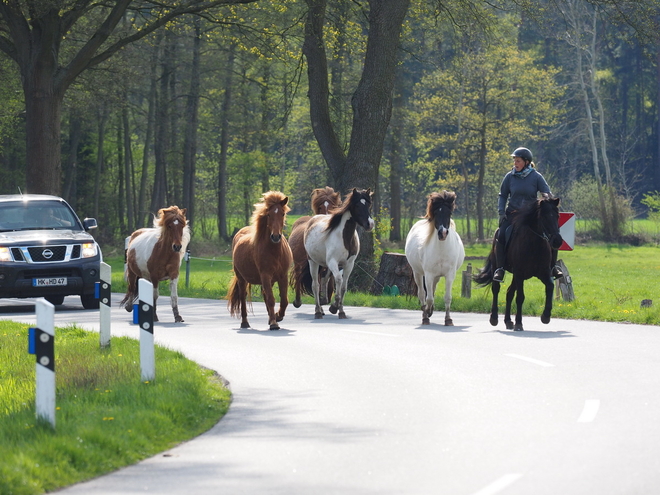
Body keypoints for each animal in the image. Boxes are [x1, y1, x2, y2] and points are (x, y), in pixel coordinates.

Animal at [227, 192, 292, 332]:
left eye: (282, 213)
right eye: (269, 214)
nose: (275, 236)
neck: (274, 251)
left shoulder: (283, 276)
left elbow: (284, 300)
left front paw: (277, 317)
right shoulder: (265, 275)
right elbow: (271, 299)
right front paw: (274, 323)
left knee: (265, 296)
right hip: (242, 278)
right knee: (243, 296)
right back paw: (245, 322)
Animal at [302, 188, 374, 320]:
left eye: (369, 204)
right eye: (357, 205)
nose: (370, 224)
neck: (344, 237)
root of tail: (312, 220)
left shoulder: (349, 264)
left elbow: (344, 287)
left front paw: (340, 311)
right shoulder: (333, 262)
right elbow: (339, 281)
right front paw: (334, 307)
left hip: (325, 264)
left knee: (324, 280)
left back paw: (323, 304)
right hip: (313, 262)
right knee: (315, 285)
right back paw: (318, 311)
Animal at [404, 192, 466, 328]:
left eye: (449, 213)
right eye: (436, 213)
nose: (443, 233)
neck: (441, 251)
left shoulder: (449, 275)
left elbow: (447, 297)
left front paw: (448, 320)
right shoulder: (428, 275)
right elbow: (428, 298)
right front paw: (426, 314)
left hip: (437, 276)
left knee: (432, 290)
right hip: (418, 273)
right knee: (422, 294)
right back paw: (425, 315)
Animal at [474, 198, 564, 334]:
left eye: (557, 216)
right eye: (544, 217)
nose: (557, 241)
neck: (534, 244)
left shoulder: (543, 273)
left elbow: (550, 287)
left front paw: (546, 316)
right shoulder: (520, 274)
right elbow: (520, 297)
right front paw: (519, 323)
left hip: (516, 277)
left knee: (509, 292)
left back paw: (508, 321)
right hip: (499, 268)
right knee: (496, 289)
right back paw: (494, 318)